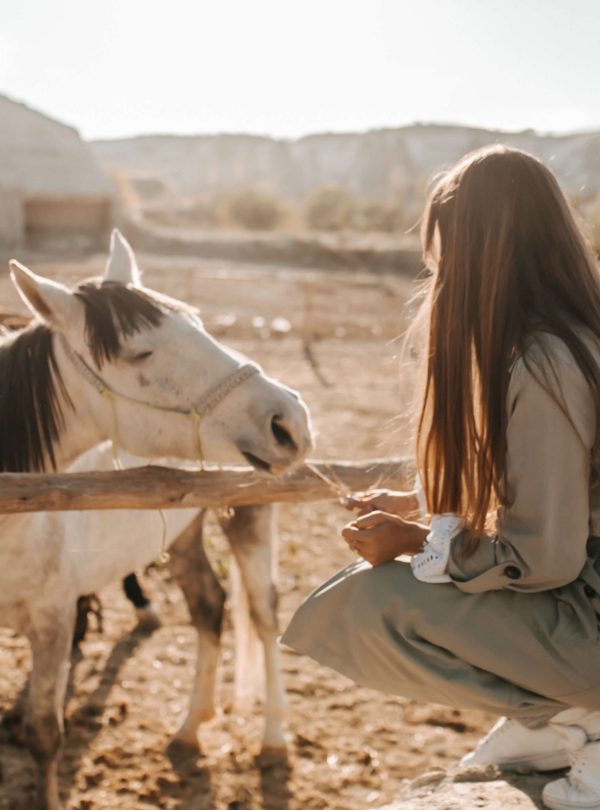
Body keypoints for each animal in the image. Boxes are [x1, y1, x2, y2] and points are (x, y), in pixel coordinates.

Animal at [0, 230, 313, 810]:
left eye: (199, 323)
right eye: (139, 352)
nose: (291, 421)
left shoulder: (54, 618)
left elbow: (44, 735)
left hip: (250, 522)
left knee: (263, 617)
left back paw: (274, 740)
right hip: (184, 533)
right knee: (209, 607)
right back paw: (190, 729)